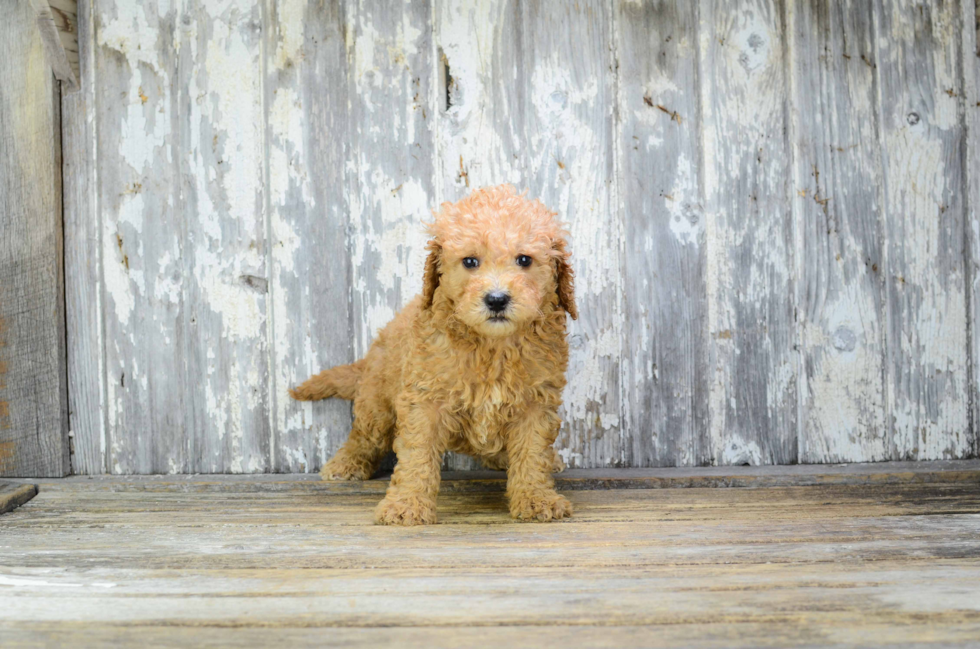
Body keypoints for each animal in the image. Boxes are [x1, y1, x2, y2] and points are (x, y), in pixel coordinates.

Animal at [292, 184, 580, 528]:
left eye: (524, 259)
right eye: (470, 261)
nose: (497, 299)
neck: (491, 346)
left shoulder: (536, 403)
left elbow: (532, 453)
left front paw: (537, 499)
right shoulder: (424, 400)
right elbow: (417, 455)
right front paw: (406, 505)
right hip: (377, 402)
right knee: (364, 435)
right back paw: (346, 463)